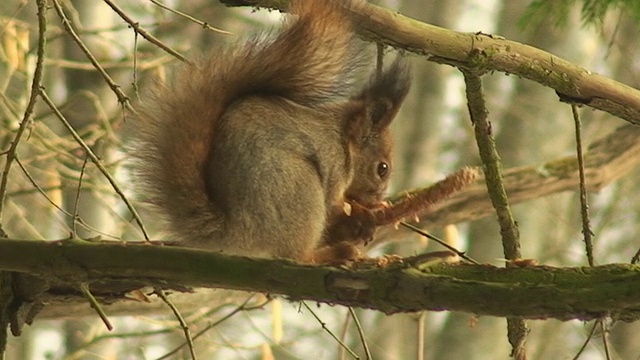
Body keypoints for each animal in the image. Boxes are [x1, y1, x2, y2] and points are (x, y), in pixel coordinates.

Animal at [130, 0, 410, 264]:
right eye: (382, 169)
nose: (376, 198)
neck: (342, 137)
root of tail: (237, 232)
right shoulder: (333, 161)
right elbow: (334, 204)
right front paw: (361, 213)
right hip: (299, 187)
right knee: (296, 254)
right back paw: (332, 254)